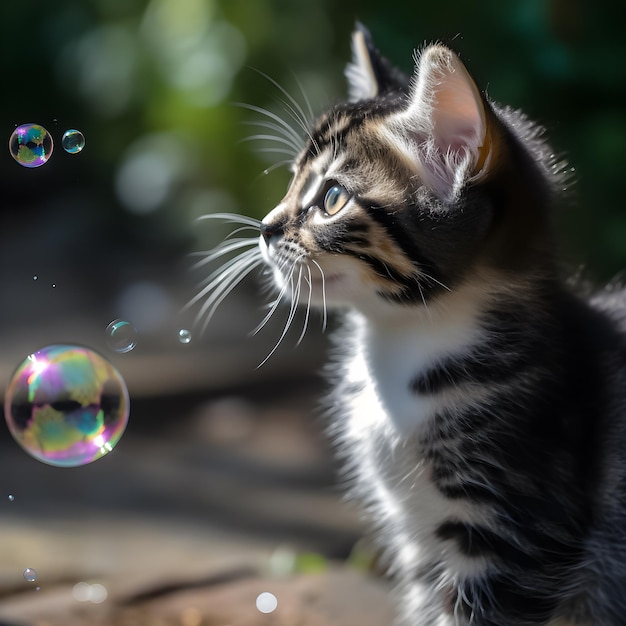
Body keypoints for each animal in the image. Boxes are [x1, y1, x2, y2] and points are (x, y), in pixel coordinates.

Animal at [197, 24, 624, 624]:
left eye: (331, 197)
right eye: (291, 181)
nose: (265, 227)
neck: (402, 343)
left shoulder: (516, 531)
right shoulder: (418, 541)